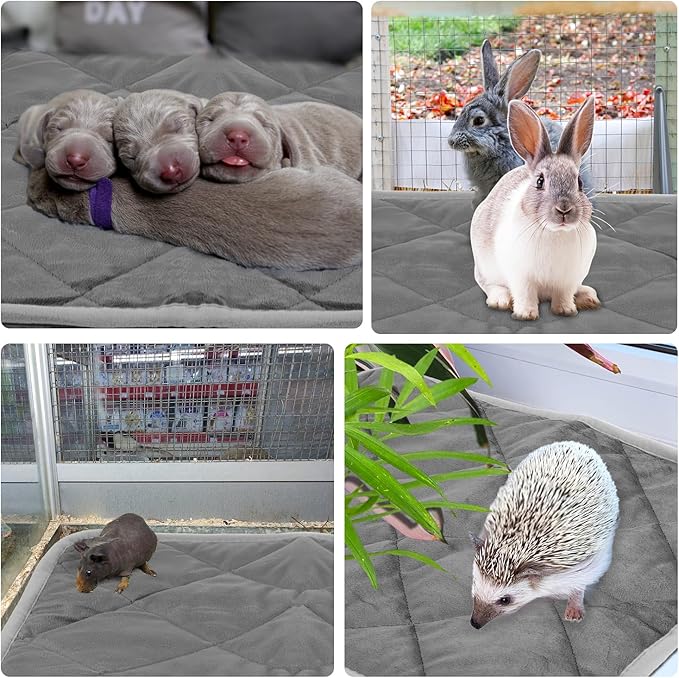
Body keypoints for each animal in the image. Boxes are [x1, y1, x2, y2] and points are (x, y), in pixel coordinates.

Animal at [470, 95, 600, 321]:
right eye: (540, 181)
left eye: (580, 183)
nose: (564, 209)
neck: (555, 233)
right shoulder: (521, 276)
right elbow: (525, 294)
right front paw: (525, 315)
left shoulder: (567, 279)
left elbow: (564, 295)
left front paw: (566, 311)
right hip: (485, 267)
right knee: (490, 285)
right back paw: (500, 300)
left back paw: (588, 297)